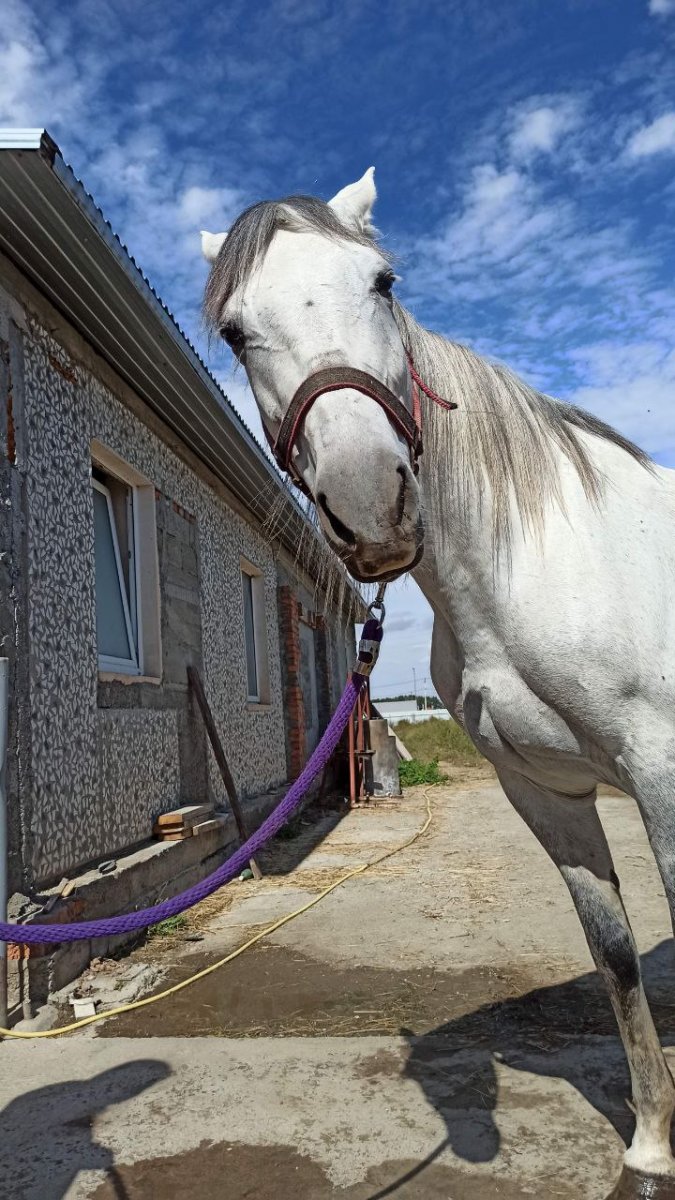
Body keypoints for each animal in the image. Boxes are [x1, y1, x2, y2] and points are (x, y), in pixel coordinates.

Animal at [199, 171, 672, 1200]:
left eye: (382, 282)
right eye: (234, 332)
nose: (370, 502)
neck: (543, 564)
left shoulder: (663, 775)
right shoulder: (545, 793)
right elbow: (615, 956)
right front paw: (651, 1151)